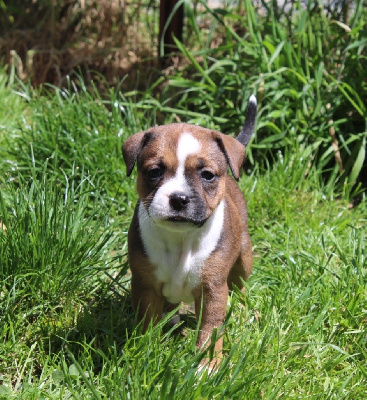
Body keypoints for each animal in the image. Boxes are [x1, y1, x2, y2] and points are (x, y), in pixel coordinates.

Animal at [122, 95, 258, 368]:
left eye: (207, 175)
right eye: (154, 172)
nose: (179, 198)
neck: (180, 238)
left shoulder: (213, 291)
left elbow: (210, 329)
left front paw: (207, 366)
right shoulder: (144, 285)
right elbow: (147, 322)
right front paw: (146, 352)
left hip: (244, 257)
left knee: (240, 285)